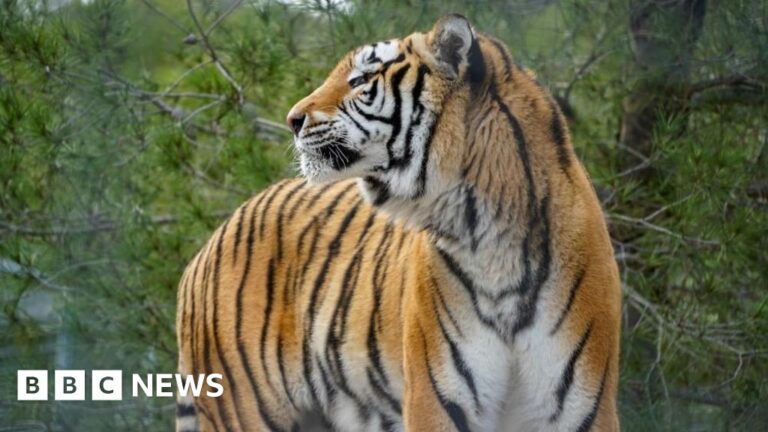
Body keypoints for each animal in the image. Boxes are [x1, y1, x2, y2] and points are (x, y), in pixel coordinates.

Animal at [176, 14, 621, 432]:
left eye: (359, 80)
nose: (292, 119)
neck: (489, 240)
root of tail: (208, 244)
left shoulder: (583, 407)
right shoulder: (437, 399)